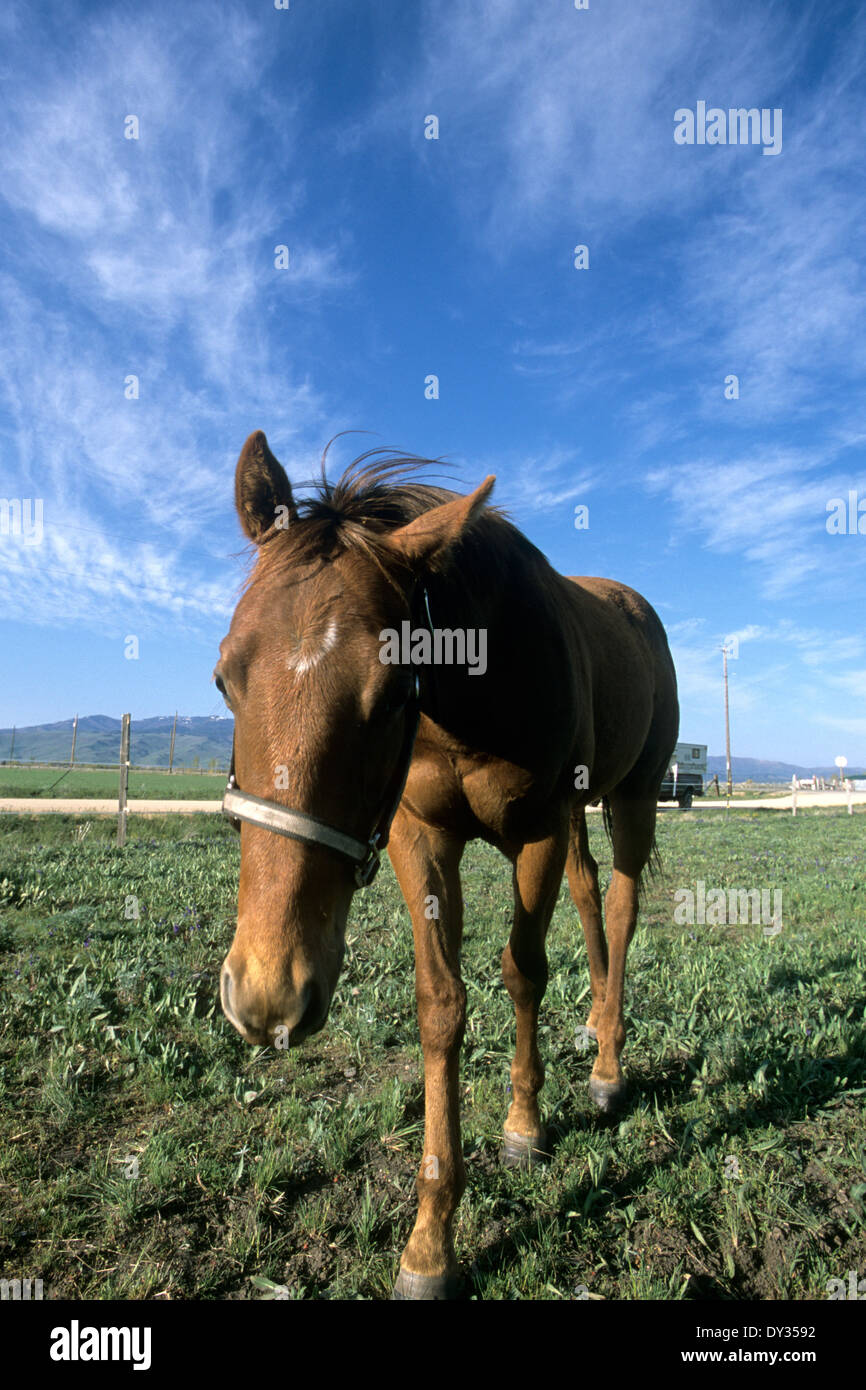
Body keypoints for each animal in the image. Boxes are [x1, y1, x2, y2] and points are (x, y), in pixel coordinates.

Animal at [215, 428, 678, 1295]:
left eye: (395, 690)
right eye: (225, 677)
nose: (266, 993)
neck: (477, 691)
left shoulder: (535, 831)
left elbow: (522, 972)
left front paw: (524, 1127)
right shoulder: (419, 834)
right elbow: (440, 1006)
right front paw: (430, 1242)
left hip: (632, 797)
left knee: (624, 904)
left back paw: (608, 1064)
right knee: (591, 894)